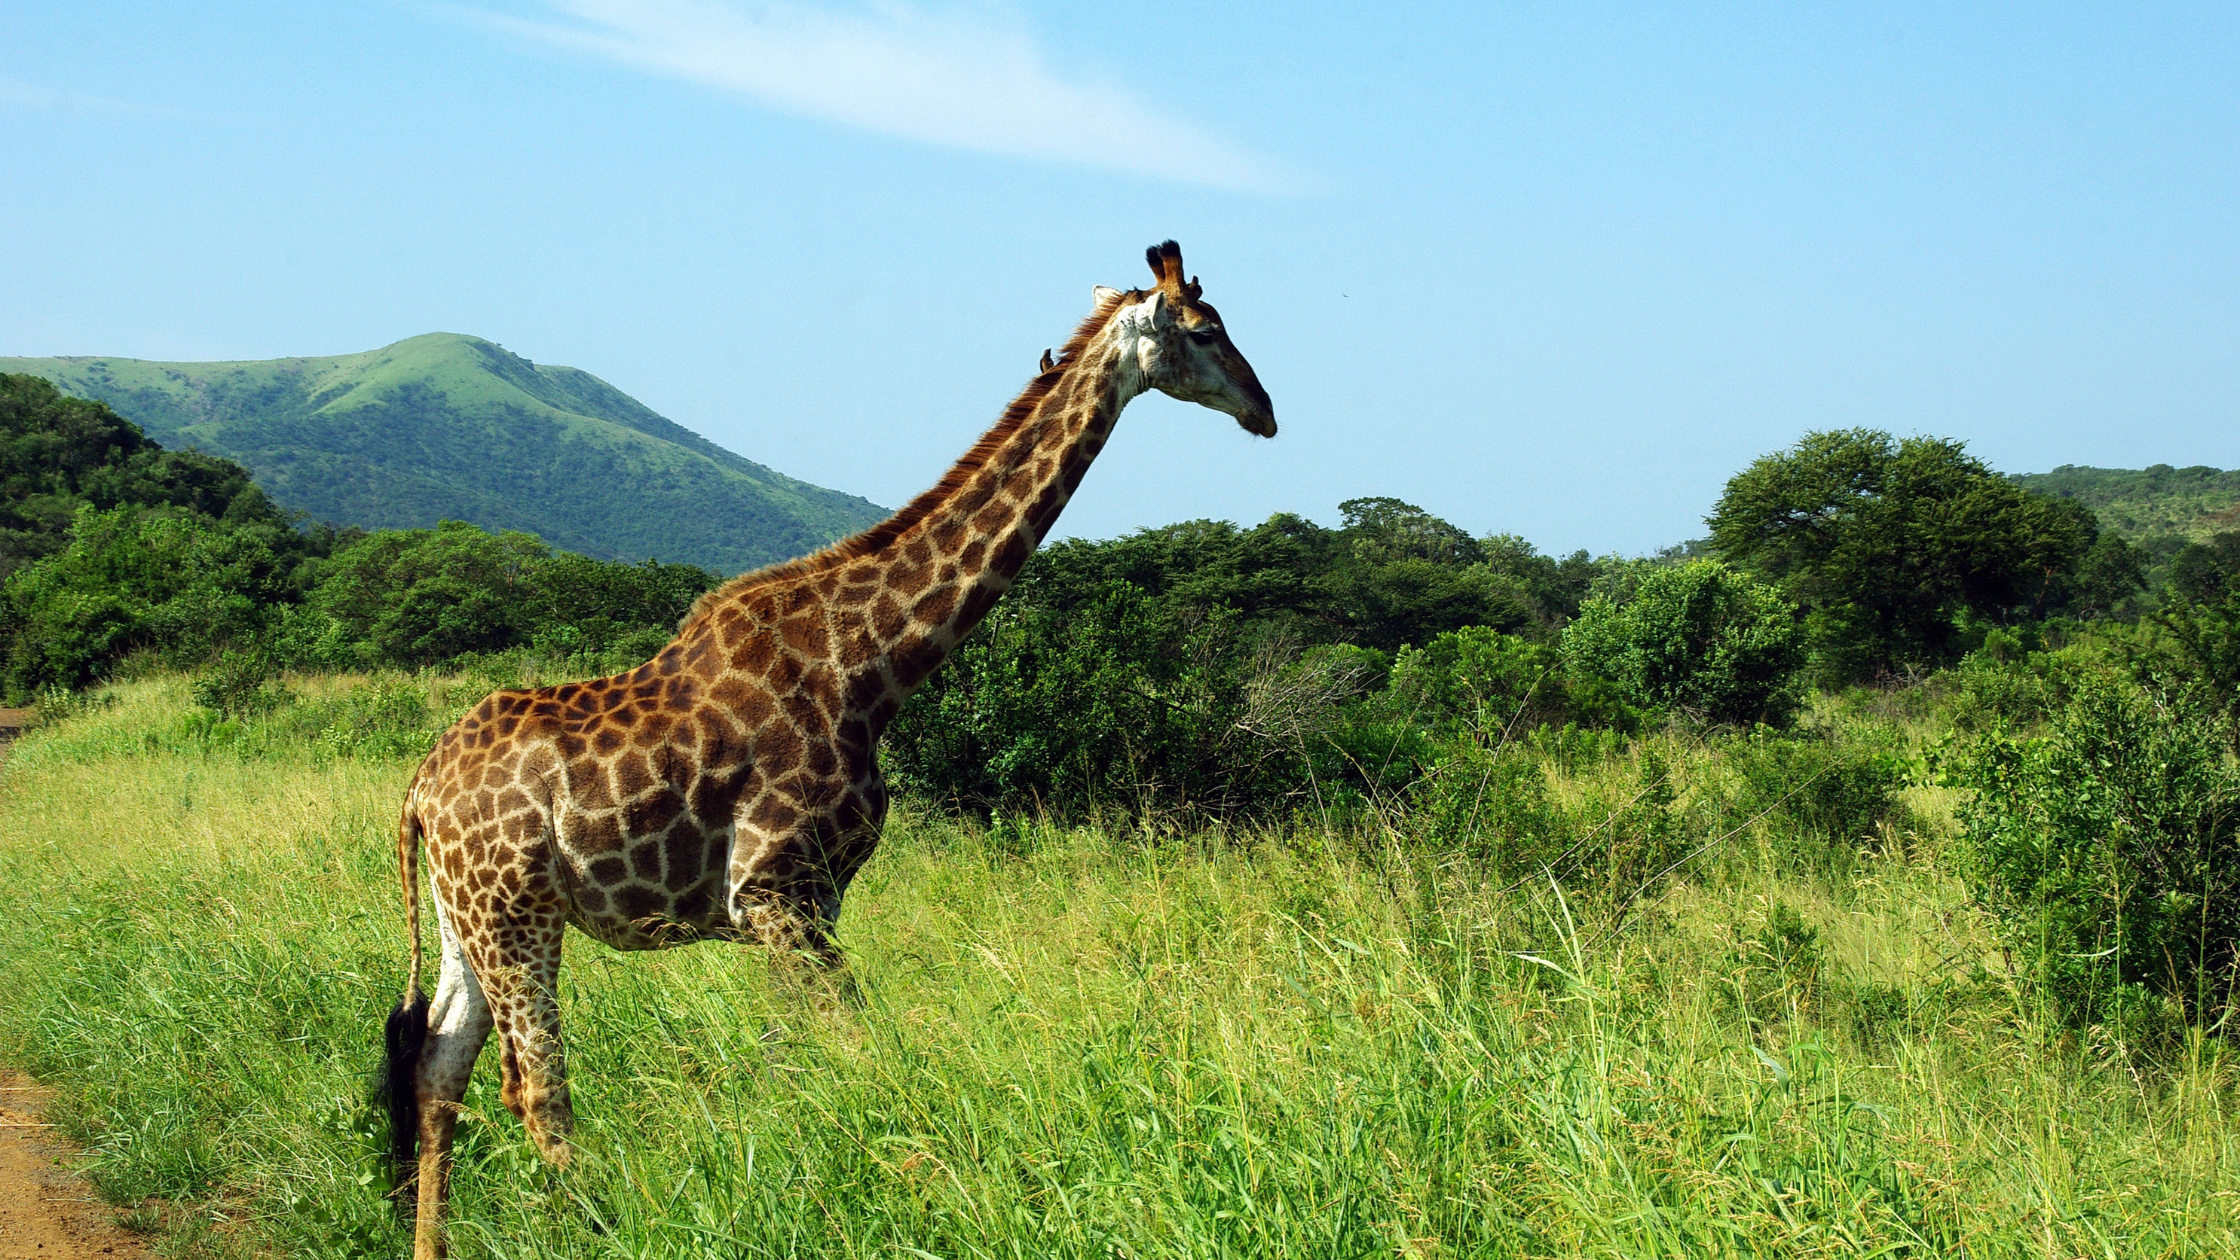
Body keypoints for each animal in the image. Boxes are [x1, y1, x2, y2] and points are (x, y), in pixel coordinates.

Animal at [381, 241, 1275, 1258]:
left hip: (468, 919)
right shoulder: (776, 889)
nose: (1267, 410)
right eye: (1205, 331)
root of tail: (418, 790)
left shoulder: (812, 900)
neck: (874, 663)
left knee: (438, 1070)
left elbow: (793, 1059)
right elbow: (851, 1043)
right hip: (517, 915)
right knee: (538, 1093)